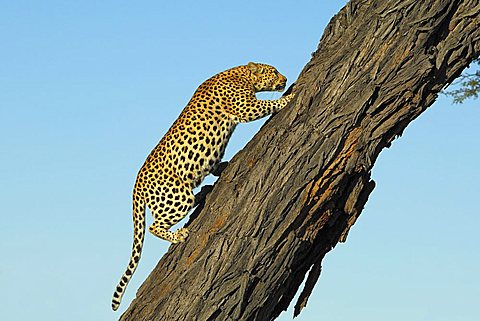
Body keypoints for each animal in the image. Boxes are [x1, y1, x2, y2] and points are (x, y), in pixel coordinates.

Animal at [112, 61, 294, 308]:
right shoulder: (247, 107)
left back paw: (204, 191)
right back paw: (179, 234)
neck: (241, 74)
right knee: (154, 226)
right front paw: (289, 97)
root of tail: (136, 185)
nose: (285, 79)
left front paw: (222, 166)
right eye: (273, 71)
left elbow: (215, 163)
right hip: (177, 197)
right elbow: (269, 103)